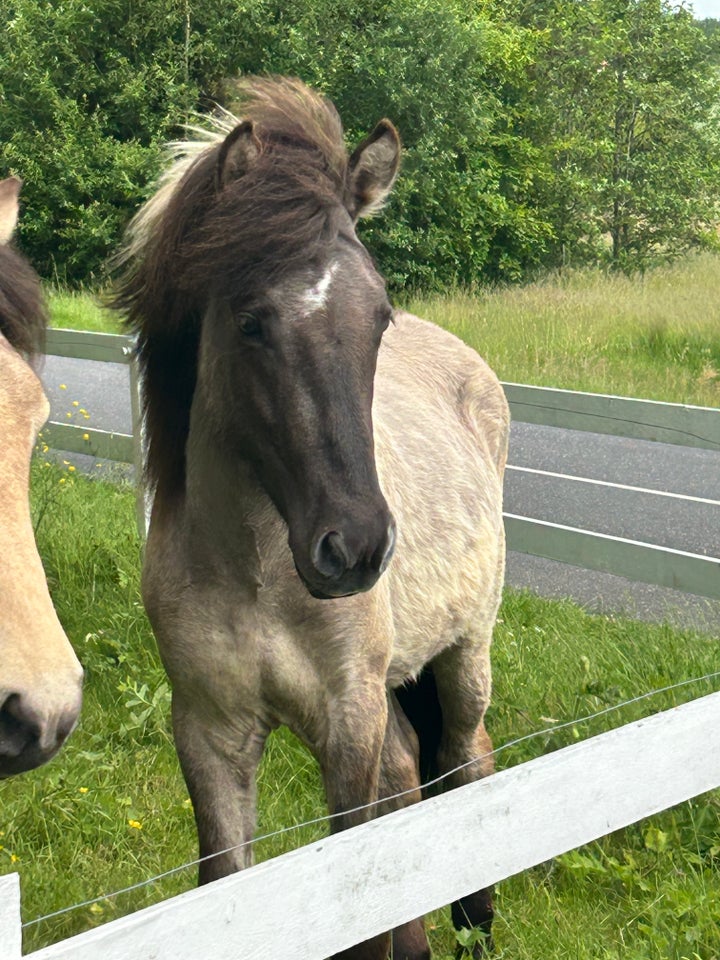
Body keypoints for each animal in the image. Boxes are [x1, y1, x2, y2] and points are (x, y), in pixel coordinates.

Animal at [114, 79, 506, 956]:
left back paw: (476, 924)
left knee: (466, 758)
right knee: (412, 772)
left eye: (379, 317)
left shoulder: (346, 722)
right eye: (252, 321)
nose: (354, 548)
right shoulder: (211, 733)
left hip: (465, 656)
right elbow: (228, 881)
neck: (257, 578)